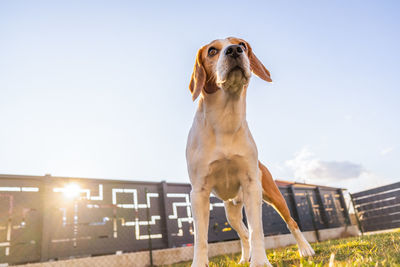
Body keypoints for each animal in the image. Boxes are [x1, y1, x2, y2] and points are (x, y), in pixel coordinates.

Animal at [186, 37, 314, 267]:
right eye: (212, 51)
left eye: (242, 45)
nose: (235, 50)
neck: (225, 120)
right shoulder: (199, 192)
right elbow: (201, 238)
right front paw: (200, 263)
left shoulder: (252, 185)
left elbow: (257, 231)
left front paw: (261, 261)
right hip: (232, 213)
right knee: (243, 233)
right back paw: (245, 257)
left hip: (273, 195)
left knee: (291, 222)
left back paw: (305, 249)